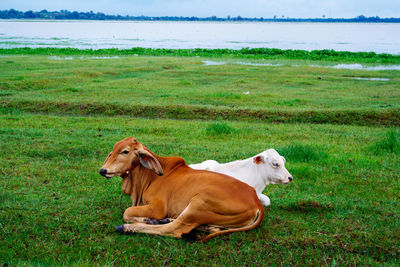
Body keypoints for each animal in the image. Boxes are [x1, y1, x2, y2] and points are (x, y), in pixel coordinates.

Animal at [99, 137, 262, 242]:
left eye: (125, 151)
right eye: (112, 150)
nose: (102, 170)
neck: (150, 176)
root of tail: (256, 202)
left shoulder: (158, 207)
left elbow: (126, 212)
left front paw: (147, 219)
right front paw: (151, 219)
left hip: (199, 203)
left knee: (175, 229)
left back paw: (128, 227)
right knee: (213, 229)